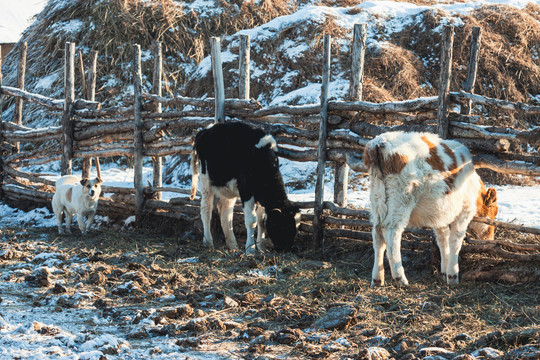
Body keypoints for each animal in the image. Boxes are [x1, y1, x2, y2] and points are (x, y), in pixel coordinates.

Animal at [190, 122, 300, 255]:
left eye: (295, 228)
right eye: (282, 226)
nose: (286, 250)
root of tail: (206, 130)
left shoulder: (260, 196)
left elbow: (261, 220)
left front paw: (261, 248)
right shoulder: (247, 190)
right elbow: (252, 221)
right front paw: (250, 249)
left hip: (229, 189)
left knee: (225, 212)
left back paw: (232, 245)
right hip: (206, 181)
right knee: (206, 209)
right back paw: (208, 242)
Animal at [362, 131, 498, 286]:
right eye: (494, 213)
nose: (490, 239)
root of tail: (379, 143)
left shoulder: (440, 217)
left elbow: (443, 240)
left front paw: (444, 271)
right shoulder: (464, 212)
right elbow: (455, 240)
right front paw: (452, 275)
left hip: (377, 200)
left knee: (378, 234)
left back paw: (377, 278)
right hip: (400, 201)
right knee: (391, 232)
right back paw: (400, 278)